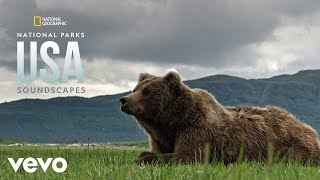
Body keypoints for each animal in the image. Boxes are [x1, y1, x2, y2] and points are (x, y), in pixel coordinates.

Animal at [120, 71, 320, 165]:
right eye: (135, 89)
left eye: (147, 91)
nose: (124, 100)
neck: (172, 121)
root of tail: (308, 127)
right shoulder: (160, 136)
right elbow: (156, 150)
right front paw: (143, 155)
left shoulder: (197, 130)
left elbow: (187, 156)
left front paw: (141, 160)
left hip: (291, 146)